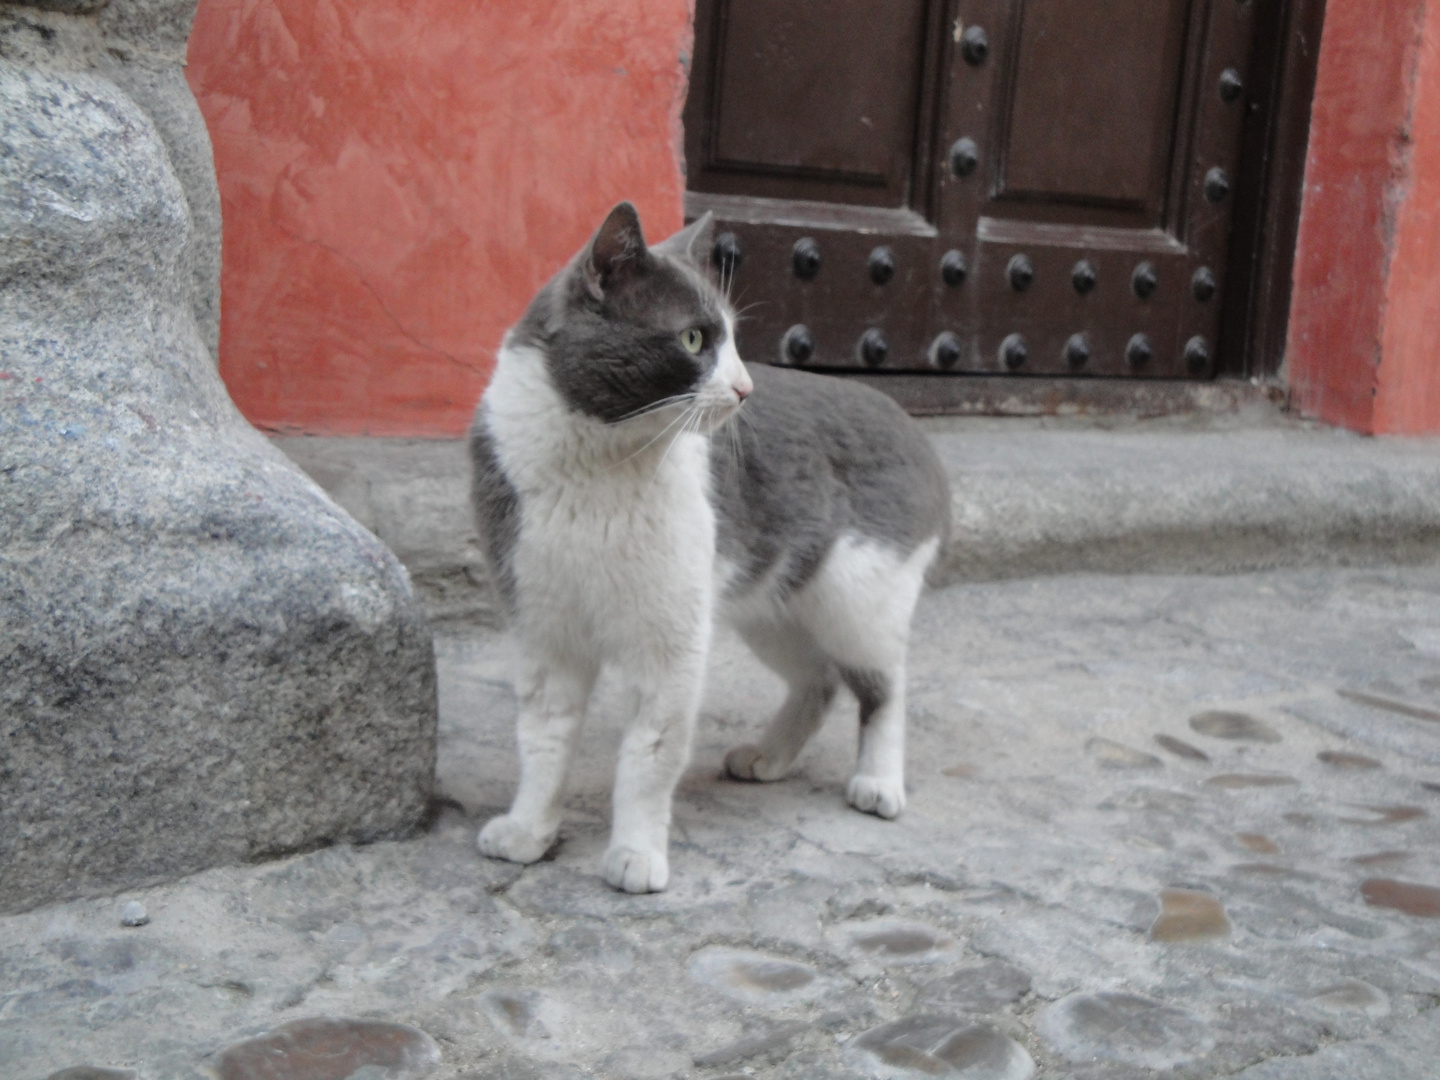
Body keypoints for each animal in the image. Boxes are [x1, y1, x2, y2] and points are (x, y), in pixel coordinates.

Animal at [466, 203, 950, 898]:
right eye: (695, 340)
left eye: (734, 342)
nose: (745, 386)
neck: (594, 466)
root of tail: (911, 424)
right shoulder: (544, 632)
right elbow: (542, 744)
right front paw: (528, 831)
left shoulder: (669, 643)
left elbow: (649, 755)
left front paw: (636, 854)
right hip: (772, 607)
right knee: (820, 680)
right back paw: (768, 757)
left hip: (858, 600)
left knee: (884, 684)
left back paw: (879, 781)